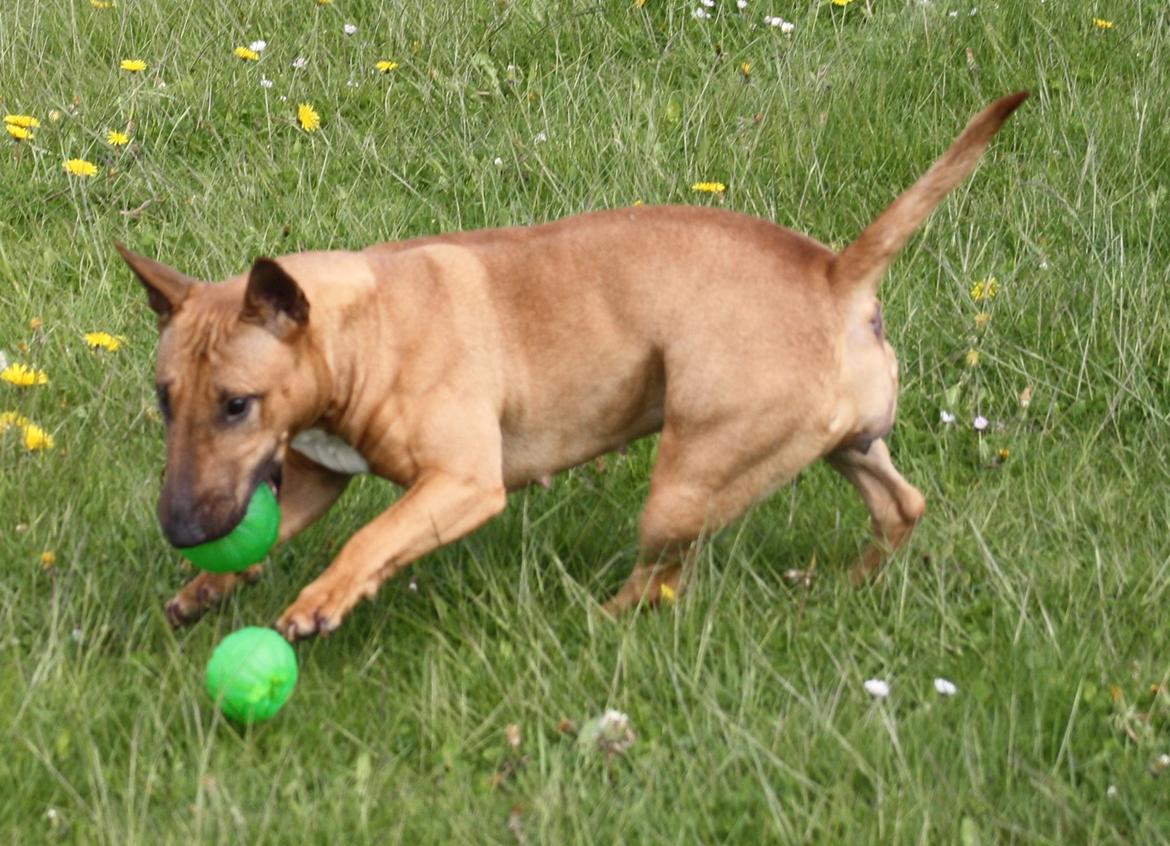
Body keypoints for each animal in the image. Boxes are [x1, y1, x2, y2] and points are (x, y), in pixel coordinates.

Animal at [118, 91, 1024, 641]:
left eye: (237, 404)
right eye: (165, 400)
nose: (181, 529)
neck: (360, 324)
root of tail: (835, 274)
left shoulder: (460, 484)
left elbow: (371, 539)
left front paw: (319, 602)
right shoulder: (312, 476)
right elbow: (282, 526)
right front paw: (206, 587)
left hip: (684, 484)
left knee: (661, 579)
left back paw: (599, 620)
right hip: (843, 444)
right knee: (900, 506)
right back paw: (848, 585)